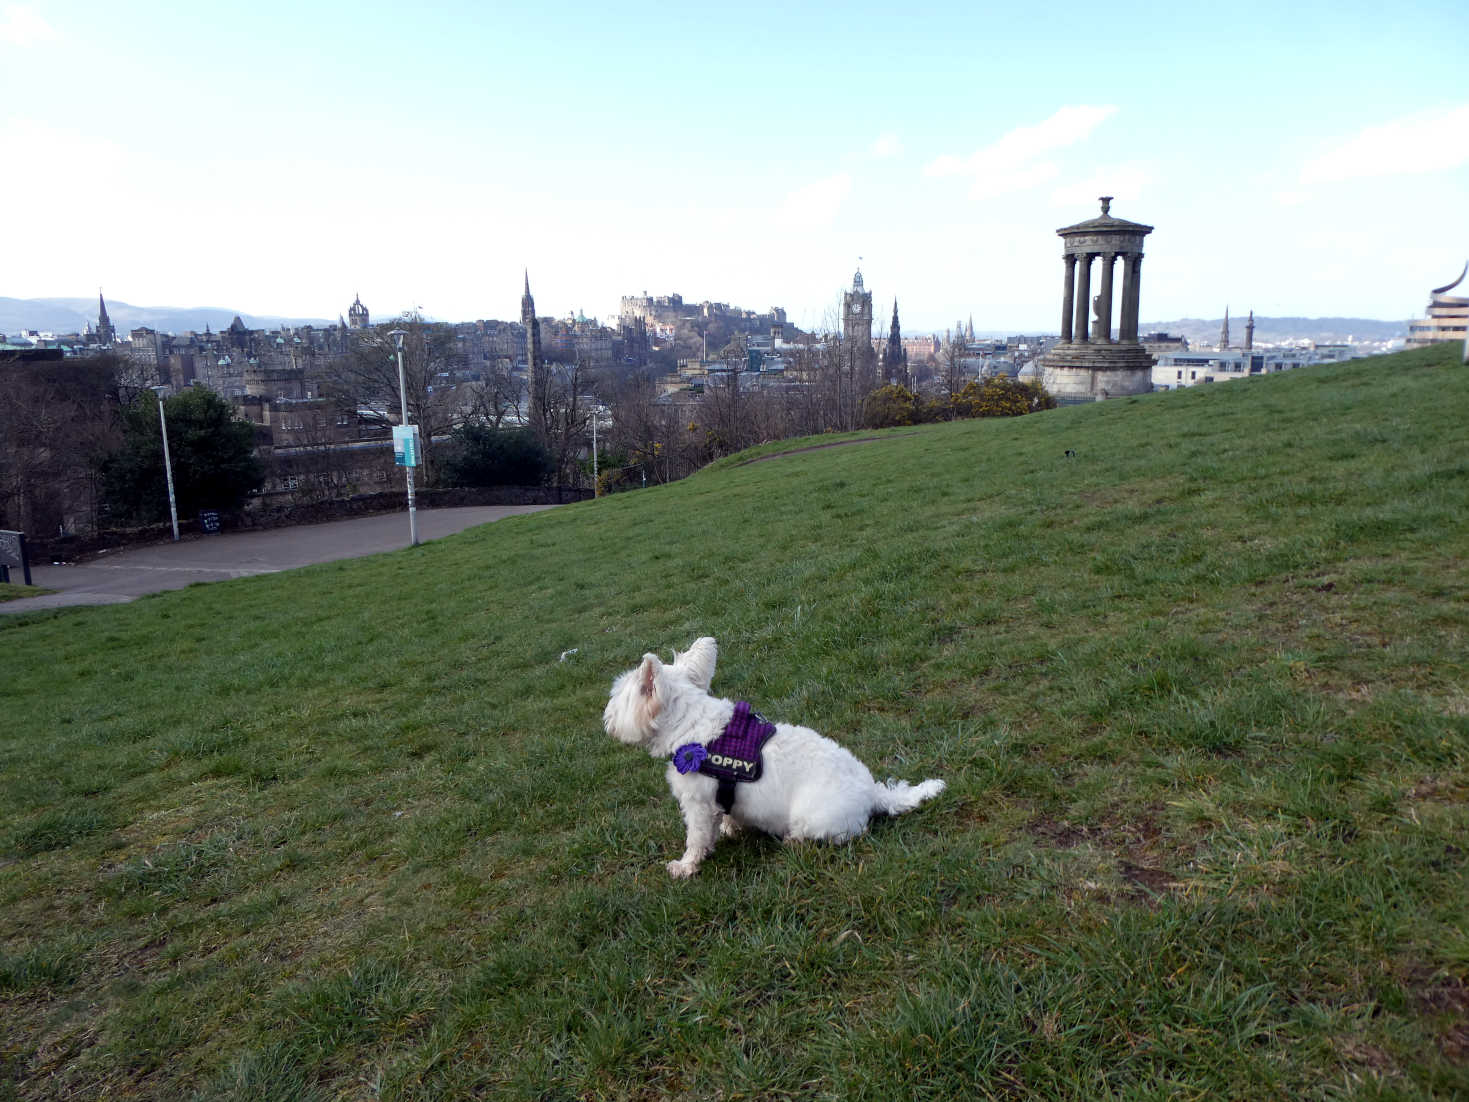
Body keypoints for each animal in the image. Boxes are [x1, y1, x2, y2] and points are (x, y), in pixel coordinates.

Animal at [602, 637, 946, 881]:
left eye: (617, 698)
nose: (606, 720)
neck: (693, 729)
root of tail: (873, 793)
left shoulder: (697, 805)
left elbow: (696, 839)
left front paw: (684, 867)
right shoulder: (720, 799)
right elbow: (725, 816)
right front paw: (730, 828)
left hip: (812, 816)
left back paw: (793, 841)